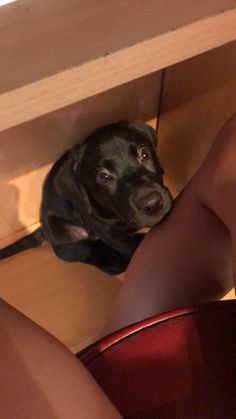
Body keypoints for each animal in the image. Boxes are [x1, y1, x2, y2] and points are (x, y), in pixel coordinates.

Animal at [0, 121, 173, 274]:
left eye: (145, 154)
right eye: (103, 177)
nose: (153, 204)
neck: (115, 215)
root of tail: (44, 231)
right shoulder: (110, 235)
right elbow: (129, 249)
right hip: (74, 239)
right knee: (84, 254)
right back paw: (110, 262)